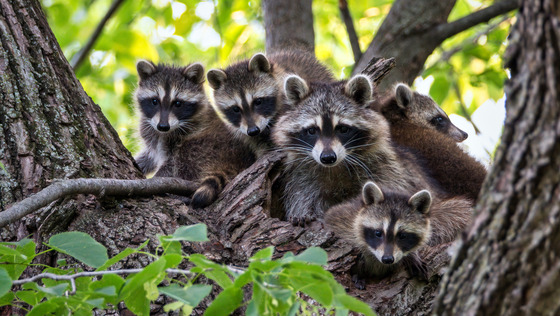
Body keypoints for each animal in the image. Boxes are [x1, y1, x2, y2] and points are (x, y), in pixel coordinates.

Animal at [272, 74, 438, 225]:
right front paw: (304, 213)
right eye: (312, 130)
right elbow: (302, 198)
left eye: (343, 129)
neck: (334, 167)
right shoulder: (301, 175)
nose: (327, 157)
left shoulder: (385, 167)